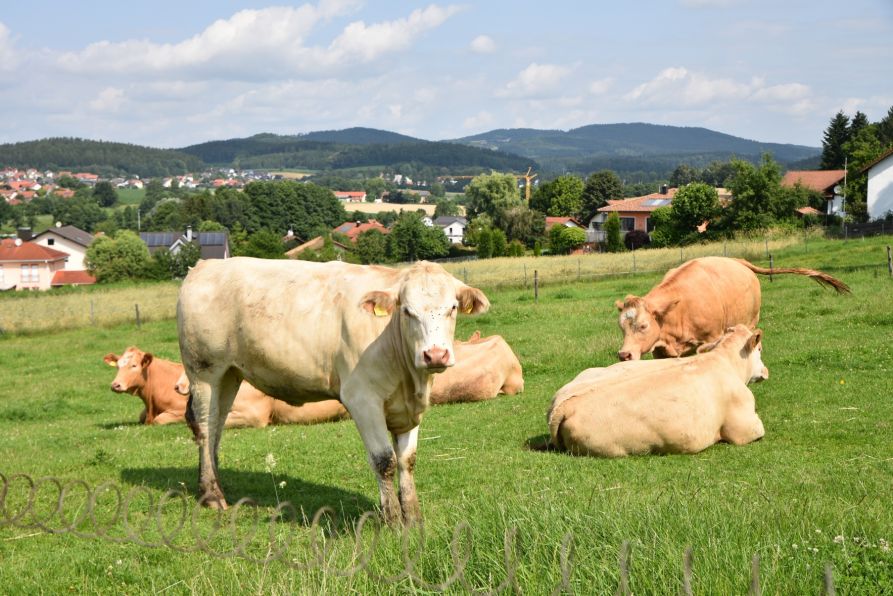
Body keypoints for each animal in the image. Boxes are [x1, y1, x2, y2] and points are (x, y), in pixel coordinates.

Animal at [177, 258, 488, 524]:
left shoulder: (408, 407)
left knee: (217, 427)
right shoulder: (362, 399)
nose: (435, 355)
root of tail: (204, 265)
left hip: (230, 374)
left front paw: (413, 517)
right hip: (205, 372)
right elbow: (384, 460)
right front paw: (393, 520)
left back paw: (216, 484)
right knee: (205, 426)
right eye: (407, 310)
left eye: (452, 308)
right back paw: (211, 495)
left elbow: (407, 460)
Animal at [612, 255, 852, 360]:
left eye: (643, 326)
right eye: (621, 327)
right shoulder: (662, 352)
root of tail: (737, 260)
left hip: (750, 322)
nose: (624, 355)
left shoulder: (711, 338)